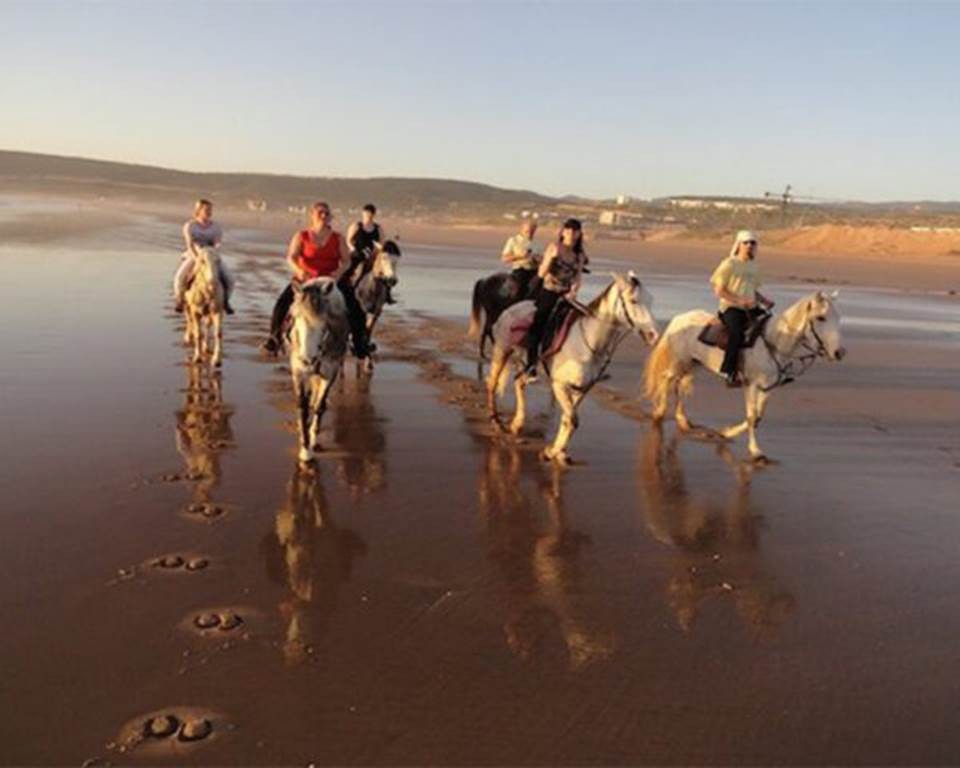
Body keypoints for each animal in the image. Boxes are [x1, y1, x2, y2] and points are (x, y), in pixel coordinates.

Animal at [288, 278, 350, 464]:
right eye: (295, 319)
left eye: (324, 325)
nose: (308, 361)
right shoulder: (299, 372)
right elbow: (302, 406)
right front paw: (305, 449)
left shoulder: (330, 373)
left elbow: (319, 406)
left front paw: (313, 440)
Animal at [486, 272, 660, 465]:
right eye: (633, 300)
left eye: (651, 300)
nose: (654, 335)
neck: (588, 342)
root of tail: (511, 309)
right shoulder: (560, 385)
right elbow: (572, 420)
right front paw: (550, 452)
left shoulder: (581, 389)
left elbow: (568, 419)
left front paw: (558, 452)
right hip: (502, 351)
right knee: (492, 383)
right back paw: (496, 422)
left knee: (519, 383)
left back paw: (517, 423)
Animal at [643, 290, 846, 461]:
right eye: (821, 317)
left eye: (838, 318)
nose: (839, 353)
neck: (772, 342)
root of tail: (679, 318)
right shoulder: (751, 385)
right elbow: (751, 416)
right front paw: (755, 451)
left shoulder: (767, 387)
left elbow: (758, 417)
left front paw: (726, 432)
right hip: (680, 362)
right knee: (667, 379)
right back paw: (659, 412)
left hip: (693, 364)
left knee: (680, 384)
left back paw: (683, 420)